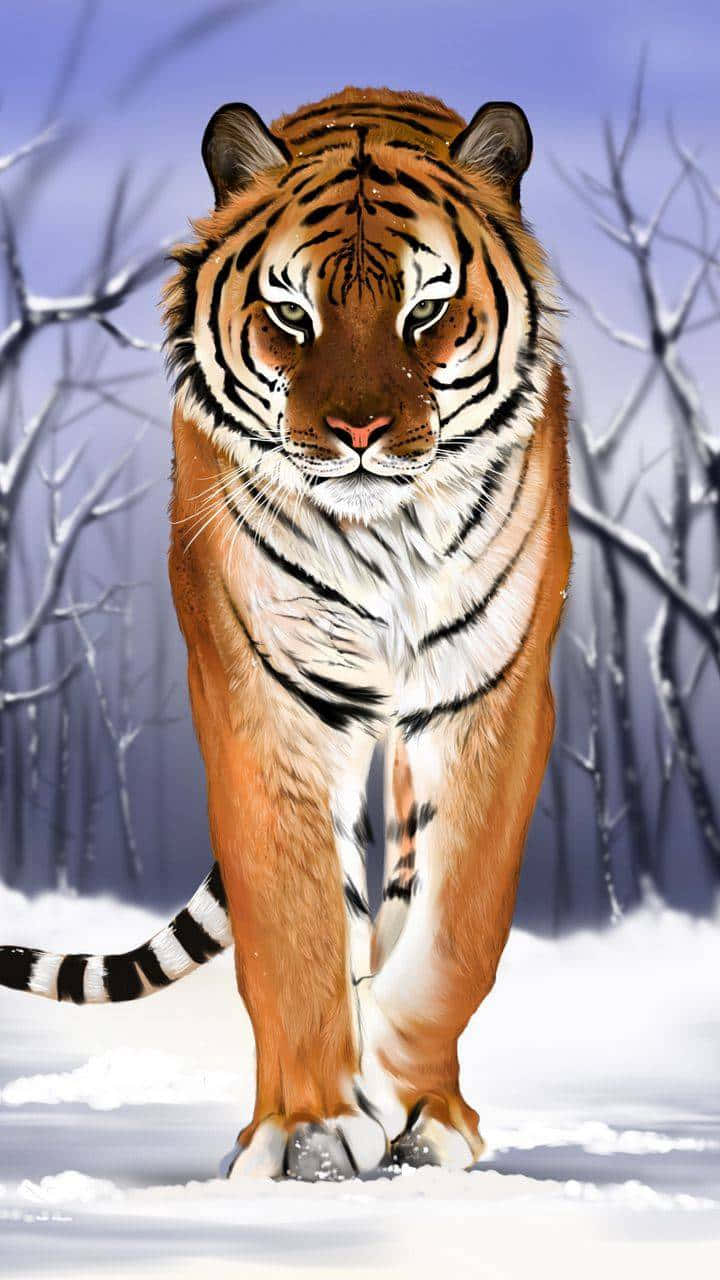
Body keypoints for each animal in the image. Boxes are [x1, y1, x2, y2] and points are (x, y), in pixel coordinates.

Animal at [0, 88, 570, 1182]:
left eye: (425, 312)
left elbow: (459, 928)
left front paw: (408, 1089)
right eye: (291, 316)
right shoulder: (264, 691)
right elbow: (293, 918)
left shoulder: (492, 693)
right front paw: (310, 1130)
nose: (358, 433)